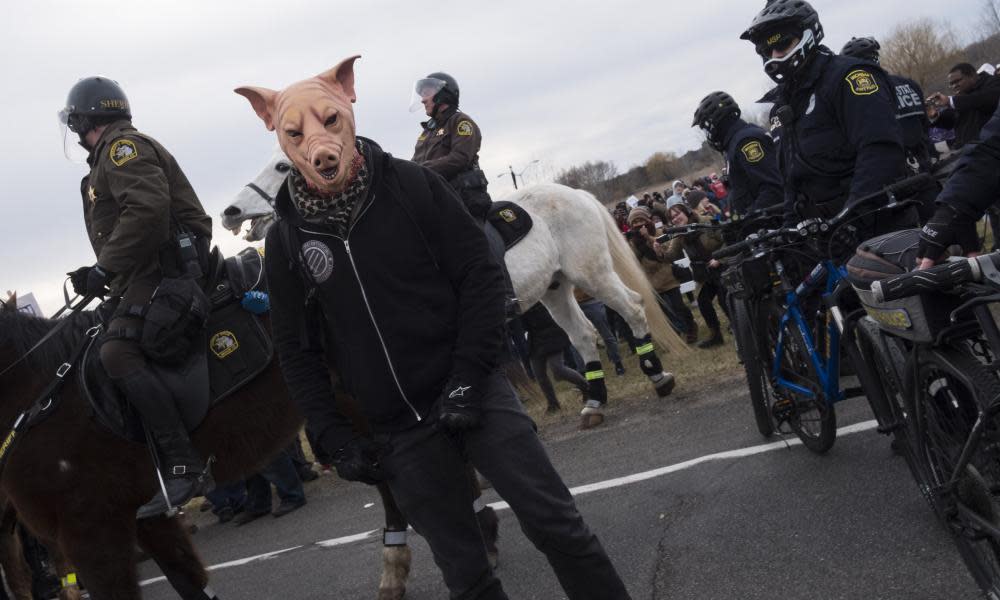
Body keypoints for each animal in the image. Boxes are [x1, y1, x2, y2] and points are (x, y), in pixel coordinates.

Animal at [222, 148, 684, 426]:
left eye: (282, 167)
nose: (230, 212)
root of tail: (577, 195)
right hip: (556, 289)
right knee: (585, 335)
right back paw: (594, 401)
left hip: (593, 274)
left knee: (633, 308)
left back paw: (657, 377)